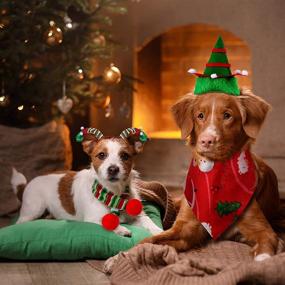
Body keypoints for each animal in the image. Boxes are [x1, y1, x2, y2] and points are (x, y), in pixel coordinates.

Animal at [10, 127, 162, 236]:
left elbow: (147, 220)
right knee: (20, 222)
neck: (113, 193)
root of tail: (28, 184)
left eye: (125, 156)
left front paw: (158, 230)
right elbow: (107, 222)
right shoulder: (93, 218)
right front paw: (121, 229)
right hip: (33, 210)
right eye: (101, 155)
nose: (113, 169)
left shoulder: (137, 216)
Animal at [140, 87, 280, 260]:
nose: (206, 141)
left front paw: (262, 260)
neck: (215, 176)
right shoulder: (187, 225)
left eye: (227, 115)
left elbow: (266, 244)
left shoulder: (260, 227)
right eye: (200, 116)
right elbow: (151, 240)